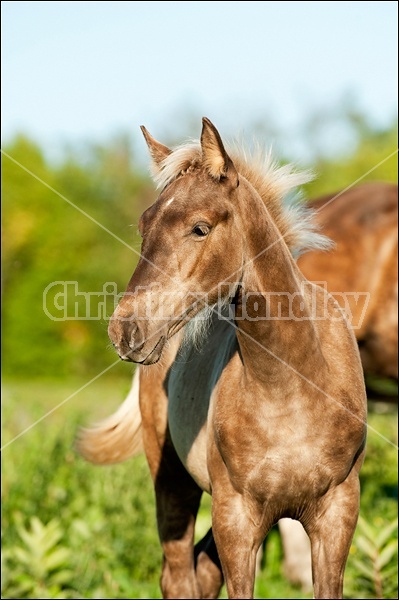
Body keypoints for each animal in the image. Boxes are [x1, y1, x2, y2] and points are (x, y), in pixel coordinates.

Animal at [79, 118, 368, 600]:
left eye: (200, 228)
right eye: (143, 225)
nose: (126, 331)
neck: (291, 387)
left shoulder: (337, 513)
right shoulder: (236, 517)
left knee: (201, 571)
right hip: (172, 480)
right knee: (179, 574)